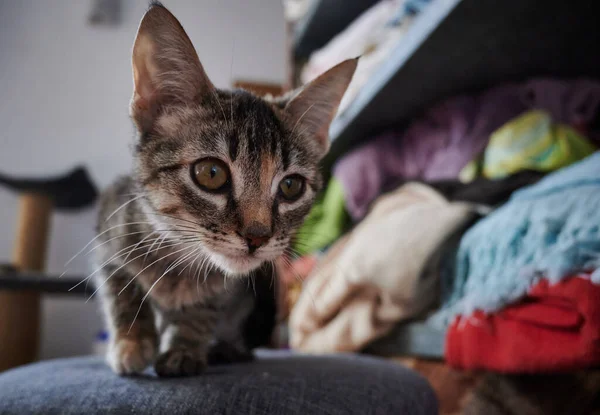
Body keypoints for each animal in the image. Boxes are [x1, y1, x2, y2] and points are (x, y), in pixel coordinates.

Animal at [94, 1, 356, 376]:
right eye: (211, 173)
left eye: (291, 186)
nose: (257, 237)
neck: (182, 261)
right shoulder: (108, 235)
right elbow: (121, 292)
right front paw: (131, 344)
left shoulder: (228, 288)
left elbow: (204, 311)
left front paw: (185, 348)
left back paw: (228, 348)